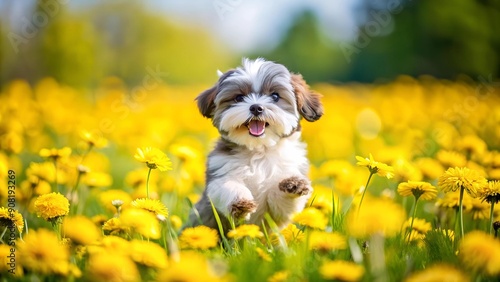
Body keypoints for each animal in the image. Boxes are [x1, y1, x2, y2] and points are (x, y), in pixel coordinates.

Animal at [188, 57, 324, 234]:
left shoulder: (277, 211)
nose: (256, 107)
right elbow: (226, 185)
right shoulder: (219, 172)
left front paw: (293, 184)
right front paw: (240, 202)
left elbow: (281, 205)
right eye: (239, 98)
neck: (259, 150)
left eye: (275, 96)